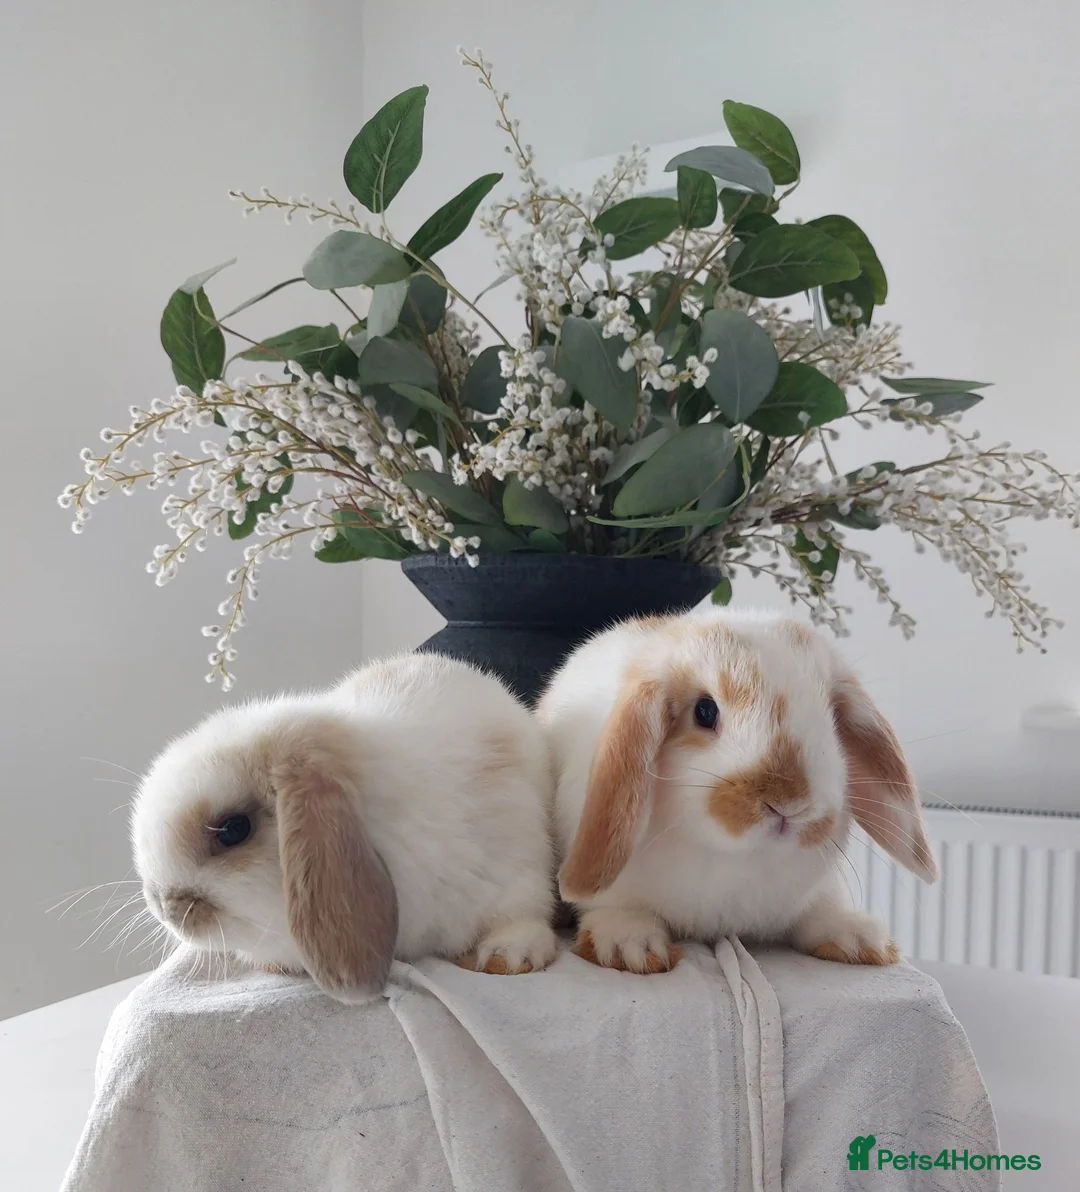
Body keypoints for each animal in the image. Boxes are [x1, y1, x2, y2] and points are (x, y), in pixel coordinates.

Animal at [535, 608, 937, 975]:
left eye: (833, 719)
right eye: (705, 711)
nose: (788, 803)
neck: (738, 859)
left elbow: (820, 910)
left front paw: (857, 939)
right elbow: (618, 906)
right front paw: (628, 946)